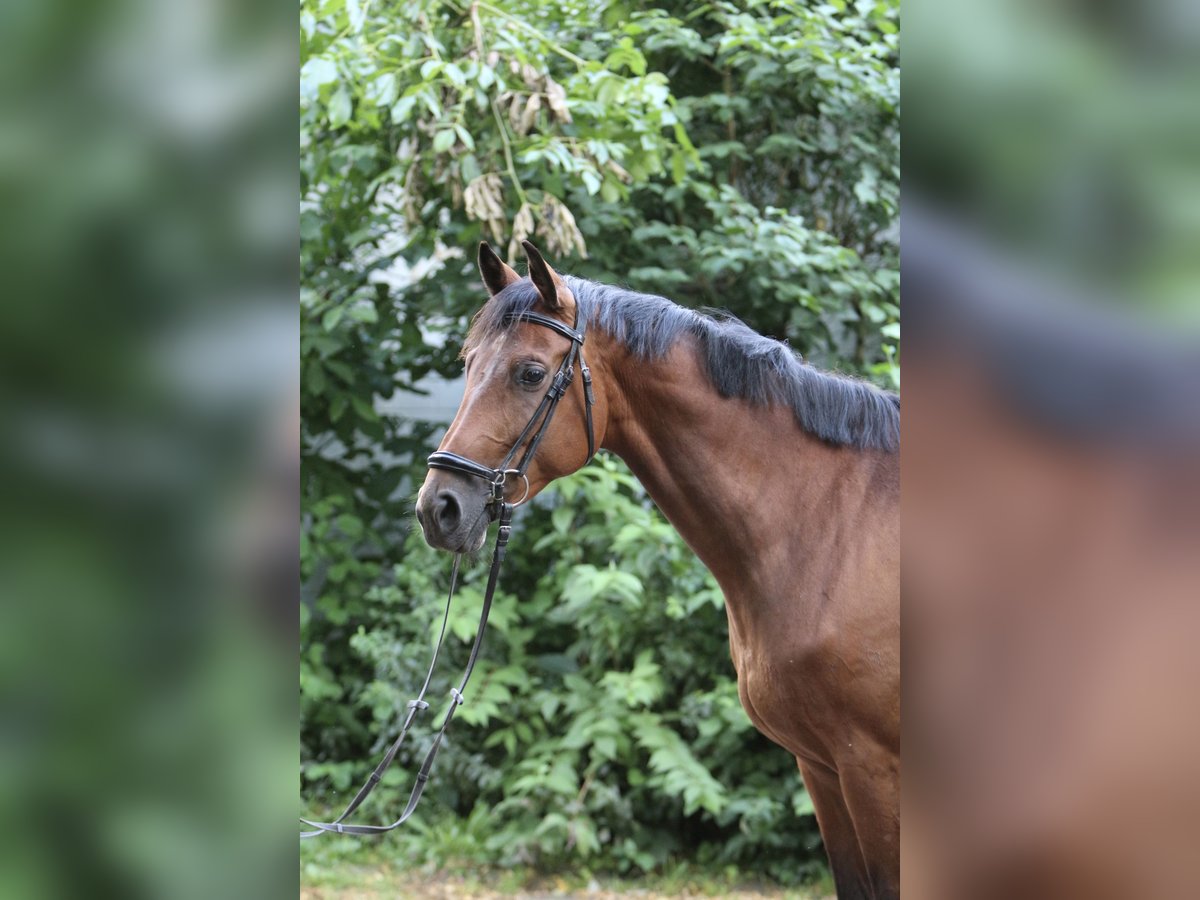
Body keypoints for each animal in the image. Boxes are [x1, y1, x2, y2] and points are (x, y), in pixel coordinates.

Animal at [417, 240, 897, 900]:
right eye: (467, 364)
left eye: (531, 373)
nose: (438, 508)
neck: (831, 525)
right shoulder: (823, 769)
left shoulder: (873, 773)